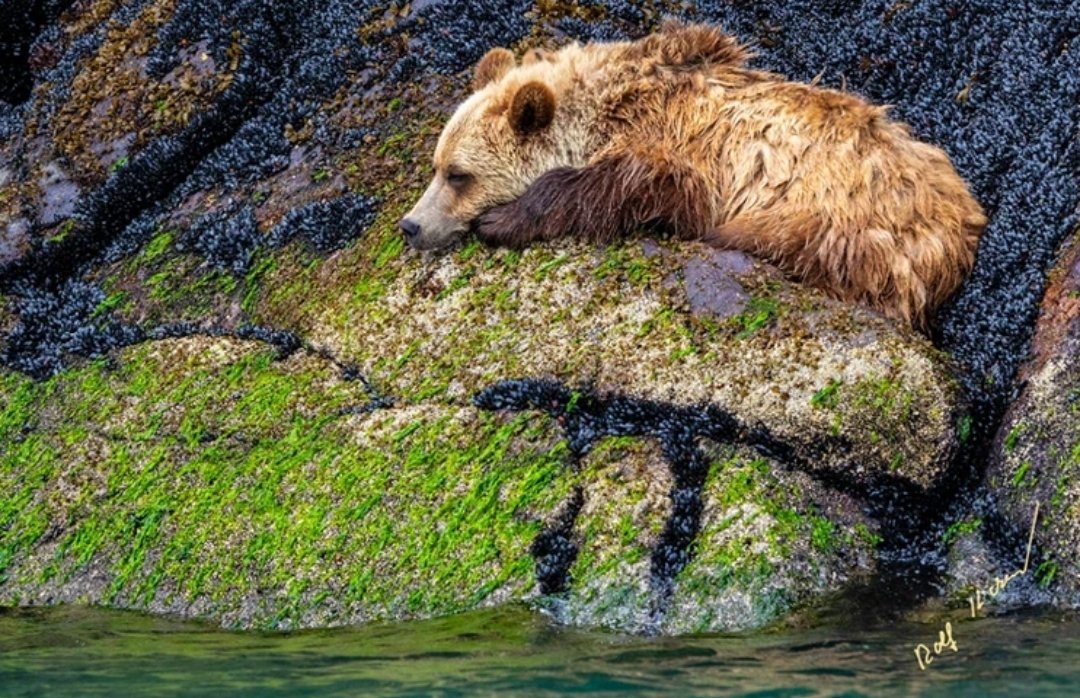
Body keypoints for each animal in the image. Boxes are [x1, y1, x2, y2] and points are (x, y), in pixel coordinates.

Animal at [399, 22, 987, 329]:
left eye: (459, 175)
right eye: (437, 166)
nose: (410, 225)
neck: (600, 110)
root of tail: (964, 223)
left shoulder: (687, 149)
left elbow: (631, 184)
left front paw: (503, 219)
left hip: (846, 226)